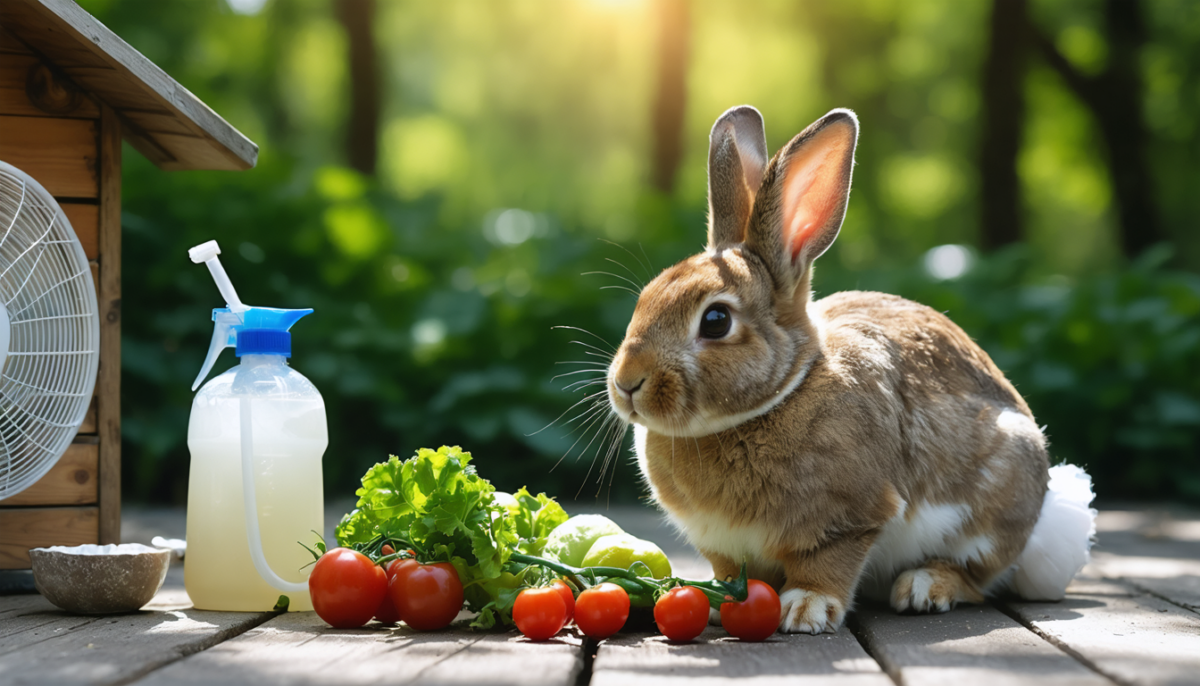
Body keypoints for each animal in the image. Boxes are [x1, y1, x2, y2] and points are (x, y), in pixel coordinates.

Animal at [605, 105, 1096, 634]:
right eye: (646, 298)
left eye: (716, 321)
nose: (627, 383)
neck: (784, 392)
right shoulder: (722, 545)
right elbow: (731, 572)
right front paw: (718, 602)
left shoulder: (850, 519)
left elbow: (826, 564)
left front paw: (805, 608)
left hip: (1000, 494)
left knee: (978, 576)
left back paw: (925, 587)